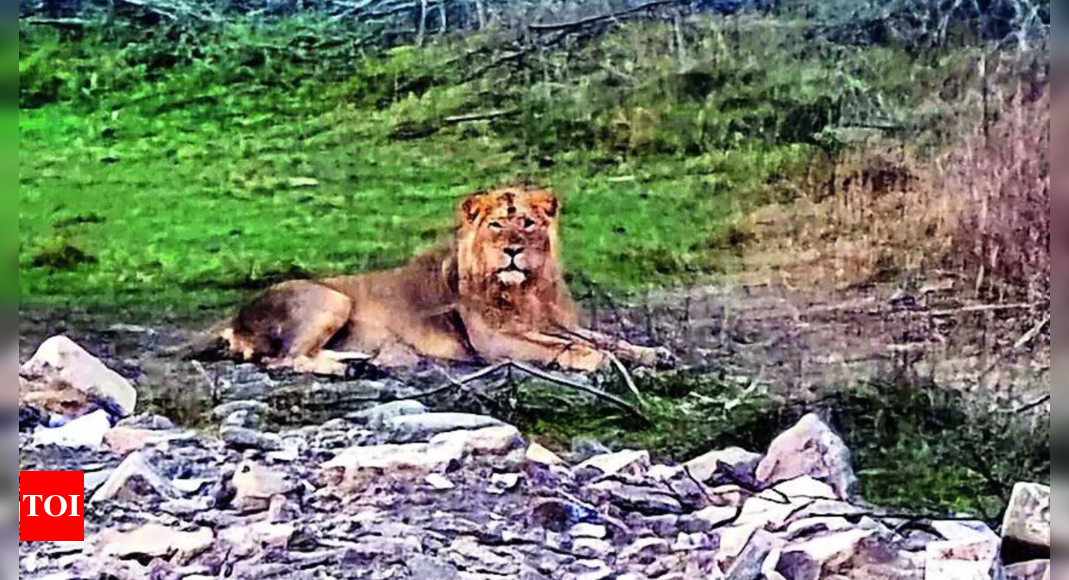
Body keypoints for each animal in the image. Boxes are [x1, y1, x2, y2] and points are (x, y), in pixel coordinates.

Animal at [191, 186, 671, 375]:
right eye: (497, 225)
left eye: (528, 224)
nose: (512, 250)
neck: (527, 290)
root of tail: (235, 315)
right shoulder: (493, 341)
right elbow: (569, 348)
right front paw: (598, 359)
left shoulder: (558, 323)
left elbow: (605, 338)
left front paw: (652, 354)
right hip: (331, 299)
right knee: (284, 359)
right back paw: (343, 369)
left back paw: (359, 362)